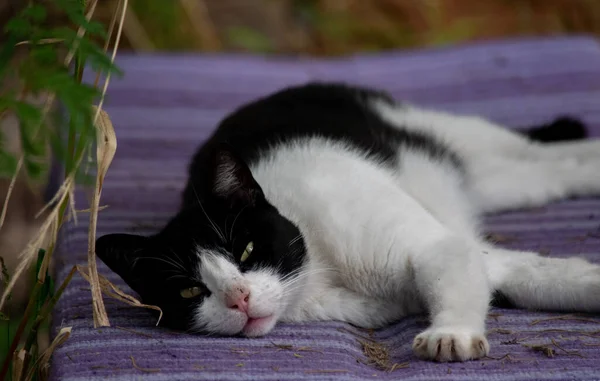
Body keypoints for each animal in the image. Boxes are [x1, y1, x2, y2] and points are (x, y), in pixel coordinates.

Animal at [96, 83, 600, 362]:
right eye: (189, 292)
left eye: (247, 250)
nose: (238, 299)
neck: (320, 268)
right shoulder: (475, 253)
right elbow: (536, 274)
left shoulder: (437, 245)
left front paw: (451, 335)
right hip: (497, 184)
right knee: (548, 174)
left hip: (459, 136)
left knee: (532, 150)